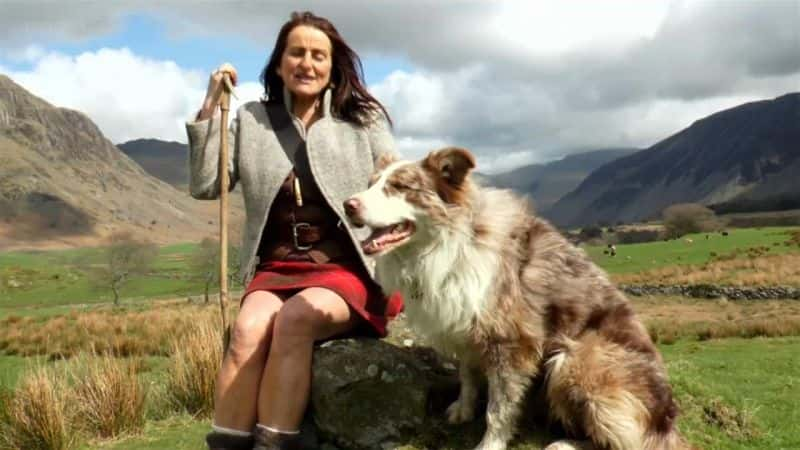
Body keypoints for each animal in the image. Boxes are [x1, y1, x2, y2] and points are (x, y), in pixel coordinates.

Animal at [340, 149, 692, 450]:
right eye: (371, 184)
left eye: (400, 187)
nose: (348, 205)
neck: (452, 242)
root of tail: (665, 423)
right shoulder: (464, 326)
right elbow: (467, 375)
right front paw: (463, 409)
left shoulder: (511, 340)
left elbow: (500, 407)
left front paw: (489, 444)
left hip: (575, 359)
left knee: (626, 441)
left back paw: (565, 443)